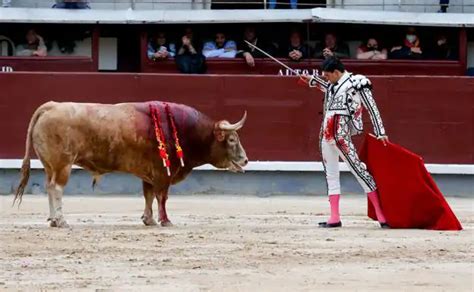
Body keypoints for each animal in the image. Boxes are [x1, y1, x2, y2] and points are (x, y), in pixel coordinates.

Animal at [13, 101, 248, 227]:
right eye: (231, 140)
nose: (245, 159)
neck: (184, 130)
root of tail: (51, 106)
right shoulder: (164, 173)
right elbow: (162, 197)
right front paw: (165, 220)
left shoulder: (149, 174)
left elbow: (149, 196)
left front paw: (149, 219)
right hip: (63, 165)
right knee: (57, 188)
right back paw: (61, 221)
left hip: (49, 166)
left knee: (49, 187)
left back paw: (53, 220)